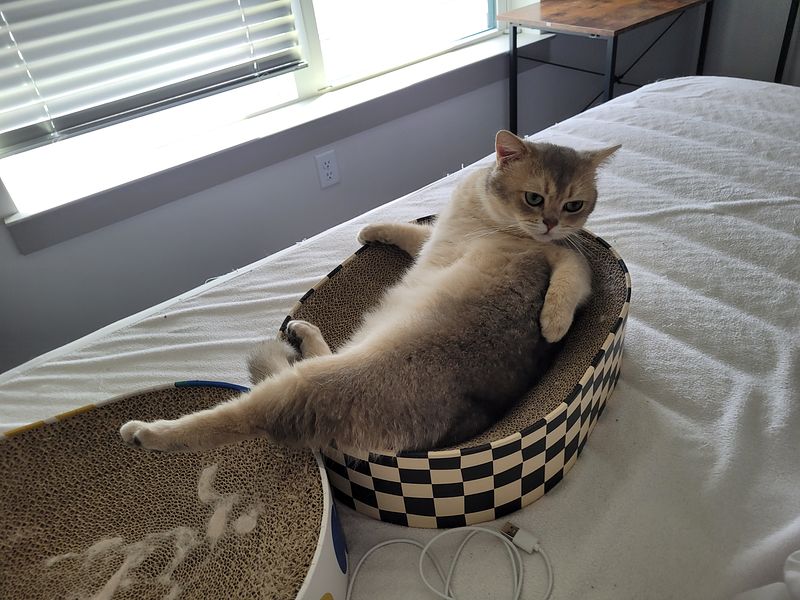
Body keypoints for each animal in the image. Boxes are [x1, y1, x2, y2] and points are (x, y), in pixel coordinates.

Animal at [120, 131, 619, 453]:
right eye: (535, 198)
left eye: (574, 205)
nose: (550, 223)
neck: (485, 214)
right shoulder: (440, 235)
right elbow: (413, 233)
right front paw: (372, 229)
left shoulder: (564, 256)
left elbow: (572, 277)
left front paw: (551, 323)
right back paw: (303, 330)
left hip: (311, 384)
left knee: (240, 415)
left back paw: (148, 433)